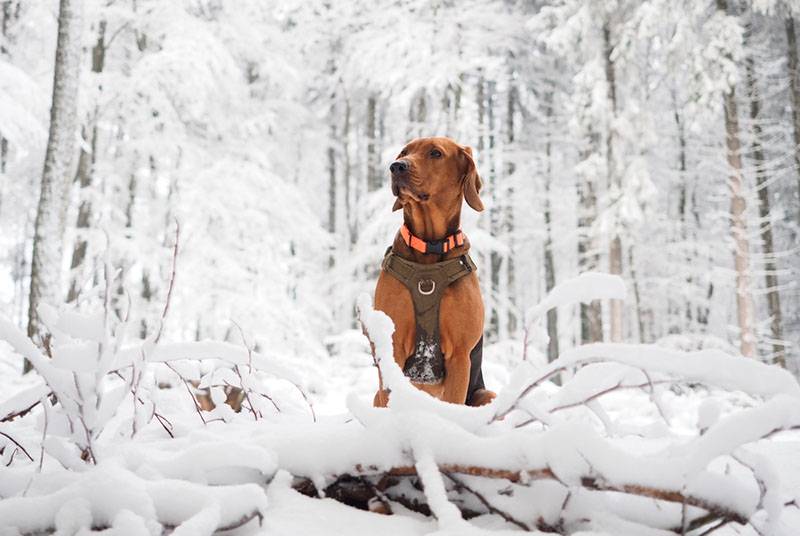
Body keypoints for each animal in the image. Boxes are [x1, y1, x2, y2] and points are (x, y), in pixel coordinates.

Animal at [374, 137, 494, 406]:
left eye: (436, 153)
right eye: (404, 152)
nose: (396, 167)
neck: (430, 245)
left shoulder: (460, 356)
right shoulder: (393, 346)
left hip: (486, 393)